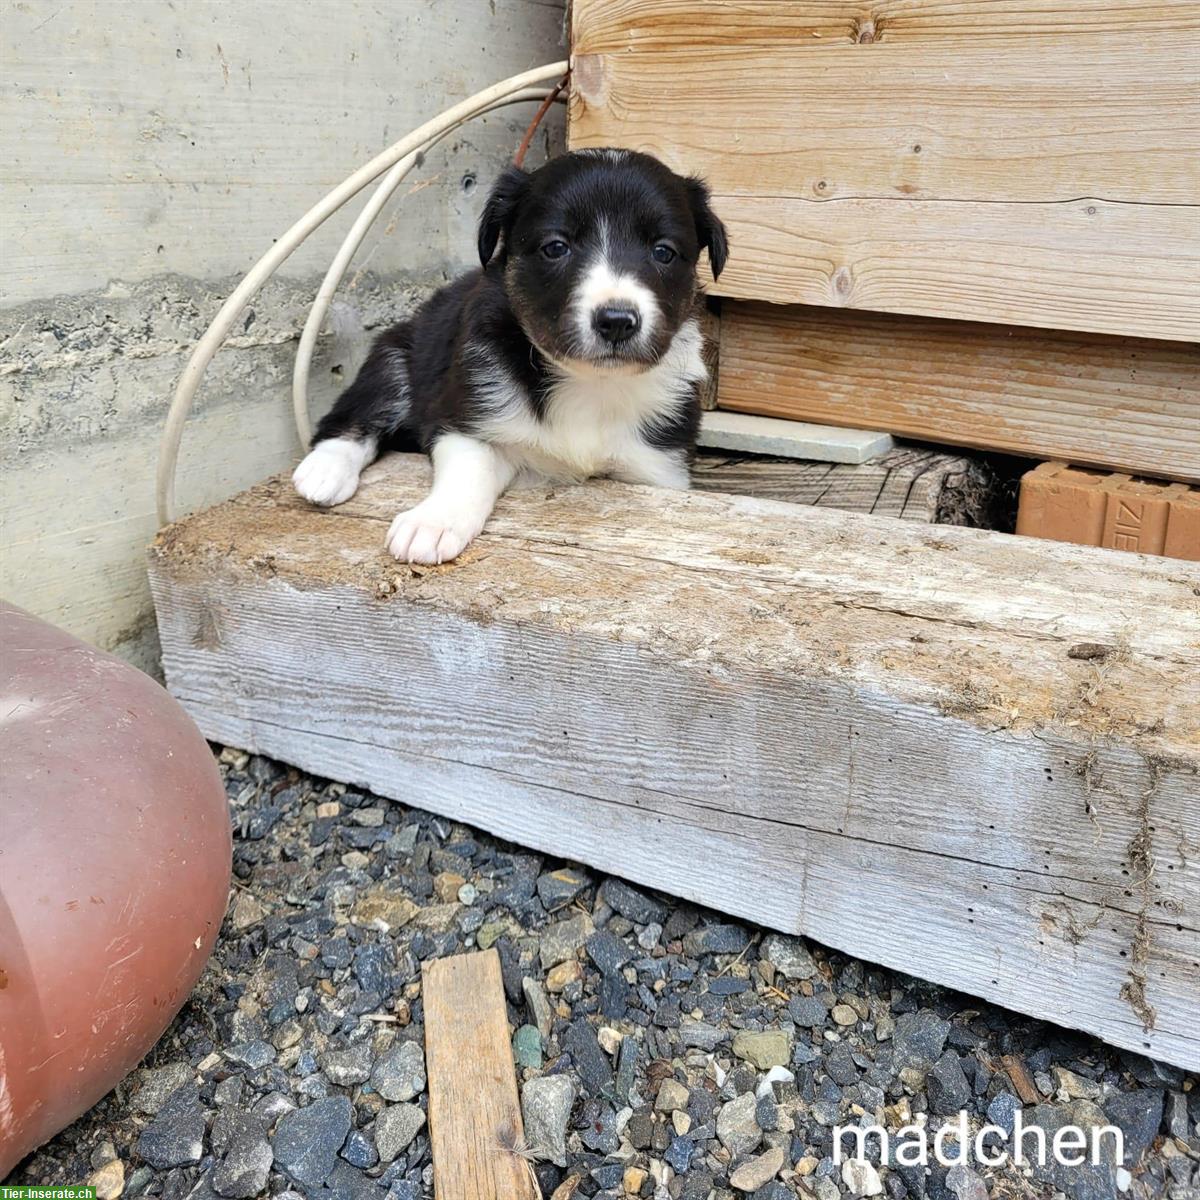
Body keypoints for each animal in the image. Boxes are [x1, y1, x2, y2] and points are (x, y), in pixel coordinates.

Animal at [291, 148, 724, 561]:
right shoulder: (466, 419)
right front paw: (433, 523)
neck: (589, 383)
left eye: (663, 252)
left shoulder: (659, 467)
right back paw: (324, 470)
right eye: (556, 247)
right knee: (353, 415)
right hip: (394, 357)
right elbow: (470, 470)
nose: (617, 321)